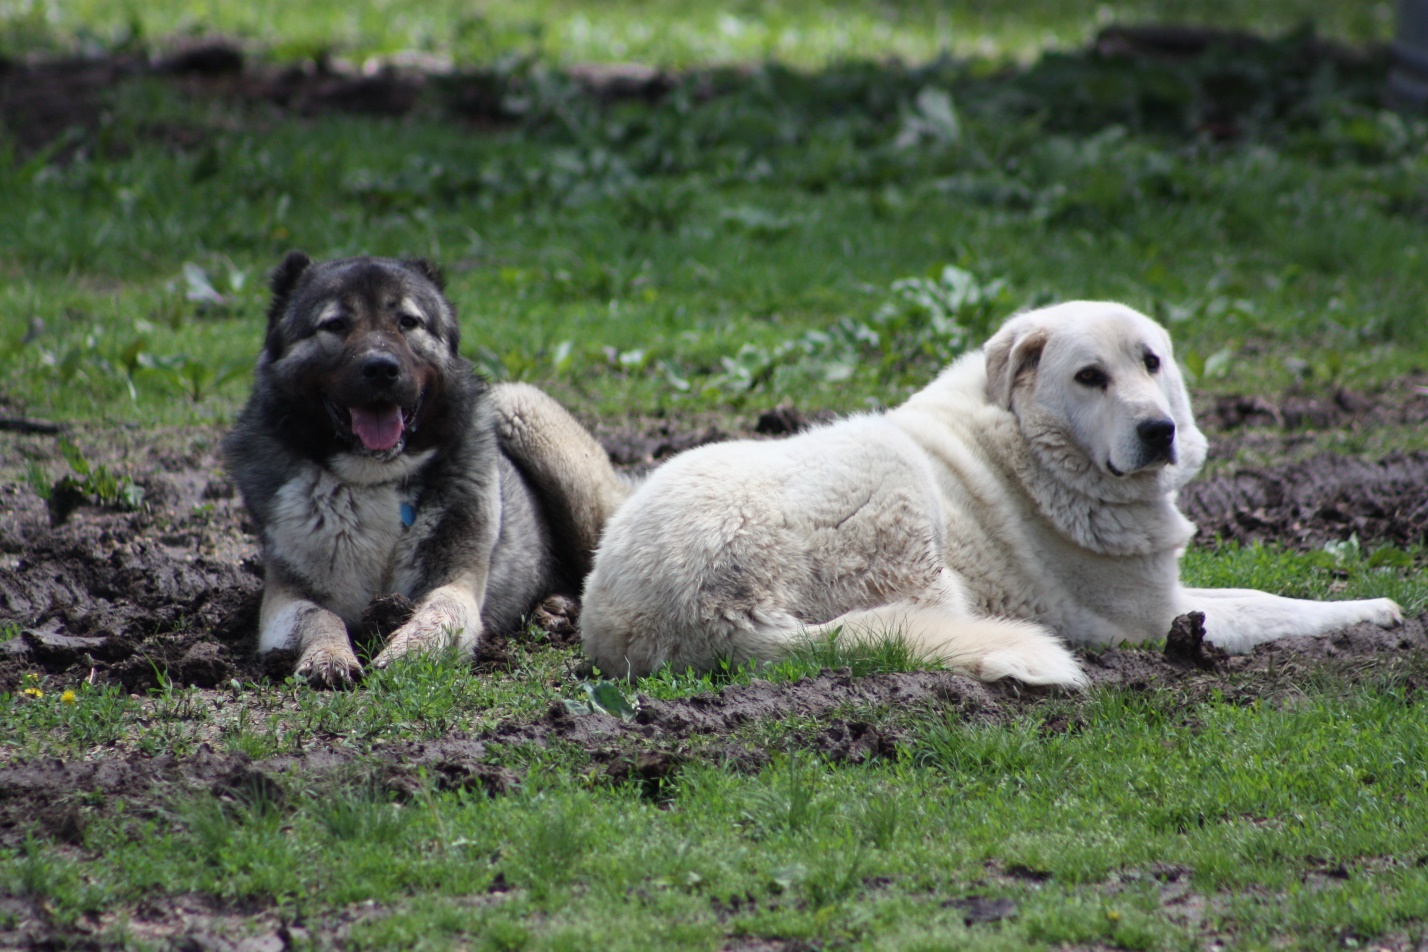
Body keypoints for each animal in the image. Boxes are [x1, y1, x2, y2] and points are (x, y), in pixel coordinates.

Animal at [224, 252, 625, 685]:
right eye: (334, 324)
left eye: (407, 322)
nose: (381, 368)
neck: (376, 478)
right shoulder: (285, 598)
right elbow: (319, 615)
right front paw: (327, 656)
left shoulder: (458, 580)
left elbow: (441, 609)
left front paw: (410, 651)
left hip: (519, 409)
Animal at [579, 304, 1405, 685]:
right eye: (1089, 377)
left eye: (1151, 361)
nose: (1159, 430)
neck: (1033, 445)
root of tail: (700, 614)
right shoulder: (1155, 616)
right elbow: (1272, 610)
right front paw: (1372, 613)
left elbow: (1257, 594)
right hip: (892, 479)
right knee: (926, 628)